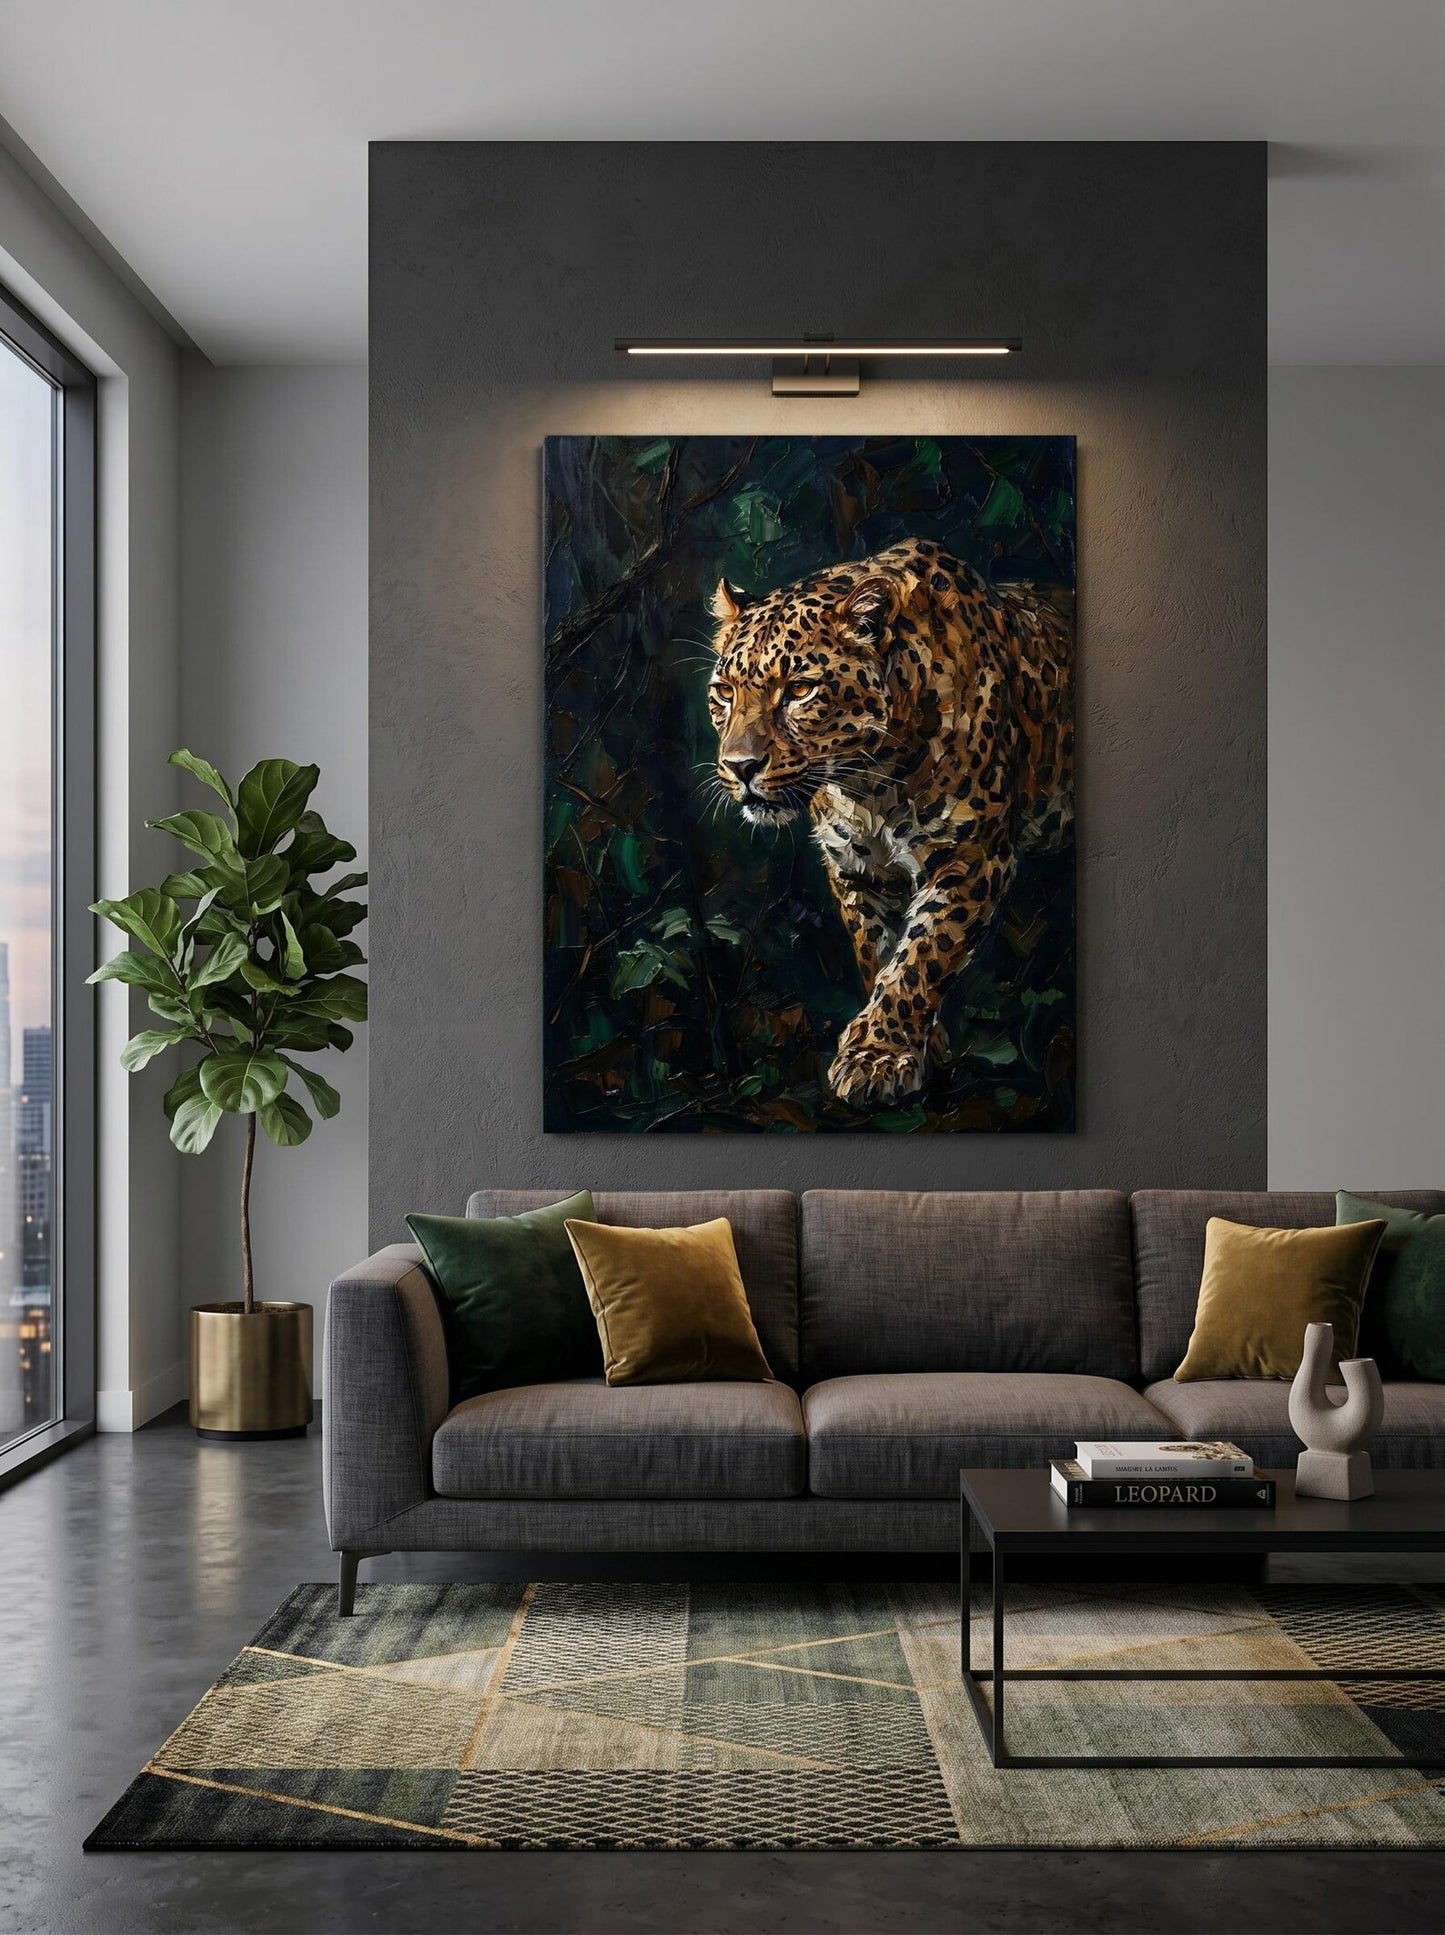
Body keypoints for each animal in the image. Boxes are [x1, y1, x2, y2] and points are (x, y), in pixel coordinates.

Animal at [706, 537, 1073, 1110]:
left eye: (800, 690)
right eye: (725, 692)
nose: (740, 766)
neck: (869, 784)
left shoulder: (973, 856)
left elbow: (922, 955)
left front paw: (877, 1055)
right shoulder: (857, 869)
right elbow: (877, 950)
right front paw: (919, 1042)